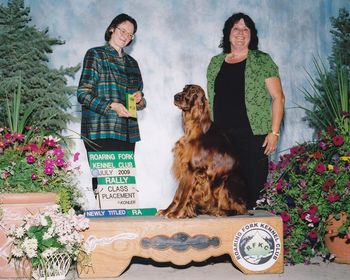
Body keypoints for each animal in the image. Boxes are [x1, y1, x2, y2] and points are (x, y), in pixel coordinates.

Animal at [157, 84, 247, 218]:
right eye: (184, 89)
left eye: (193, 91)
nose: (176, 96)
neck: (194, 126)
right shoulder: (185, 167)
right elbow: (177, 194)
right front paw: (167, 211)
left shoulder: (192, 169)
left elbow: (184, 195)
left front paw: (177, 213)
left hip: (229, 181)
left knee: (237, 209)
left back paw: (217, 211)